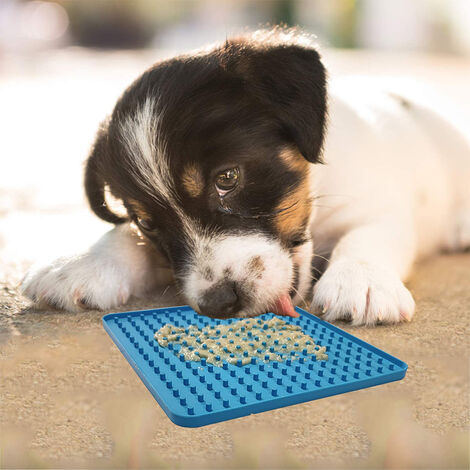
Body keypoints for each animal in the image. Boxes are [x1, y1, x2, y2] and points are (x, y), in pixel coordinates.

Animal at [20, 28, 470, 324]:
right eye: (146, 222)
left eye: (227, 178)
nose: (218, 304)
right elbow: (123, 236)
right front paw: (82, 262)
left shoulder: (378, 208)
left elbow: (367, 238)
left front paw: (361, 281)